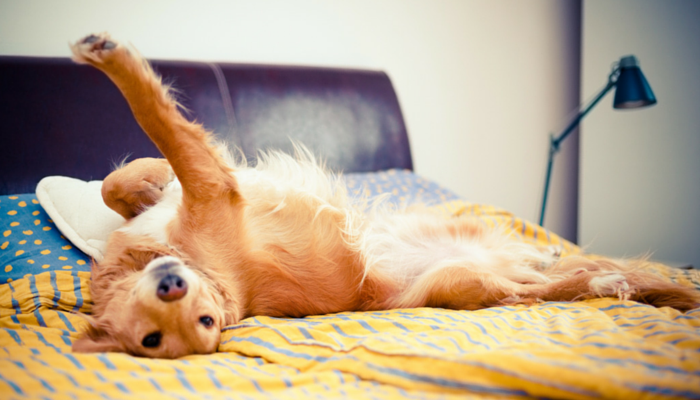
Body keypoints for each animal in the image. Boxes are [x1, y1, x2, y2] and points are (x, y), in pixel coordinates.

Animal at [69, 33, 700, 360]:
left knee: (561, 271)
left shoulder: (206, 185)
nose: (172, 285)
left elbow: (140, 153)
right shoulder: (210, 188)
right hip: (468, 284)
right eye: (154, 338)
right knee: (553, 287)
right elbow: (154, 130)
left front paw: (145, 167)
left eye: (203, 319)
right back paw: (607, 284)